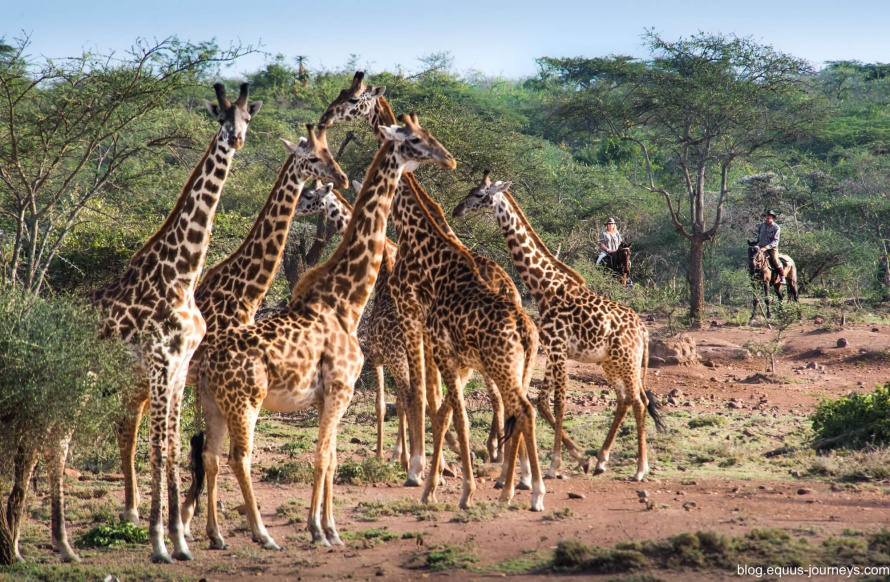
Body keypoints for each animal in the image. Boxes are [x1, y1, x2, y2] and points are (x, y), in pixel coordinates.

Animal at [88, 82, 262, 564]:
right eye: (220, 115)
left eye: (247, 116)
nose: (237, 139)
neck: (182, 275)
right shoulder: (160, 363)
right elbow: (159, 450)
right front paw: (160, 542)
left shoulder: (181, 368)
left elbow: (172, 448)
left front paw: (180, 540)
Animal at [197, 114, 454, 552]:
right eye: (416, 141)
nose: (449, 159)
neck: (345, 301)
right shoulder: (339, 390)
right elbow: (323, 457)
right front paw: (321, 529)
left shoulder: (326, 396)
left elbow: (330, 457)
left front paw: (326, 527)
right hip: (244, 402)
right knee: (236, 457)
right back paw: (261, 534)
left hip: (216, 403)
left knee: (212, 456)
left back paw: (216, 535)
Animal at [318, 73, 520, 484]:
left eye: (354, 99)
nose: (326, 117)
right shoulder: (424, 330)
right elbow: (427, 393)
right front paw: (431, 462)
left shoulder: (414, 318)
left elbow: (420, 394)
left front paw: (419, 465)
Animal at [454, 173, 664, 484]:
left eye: (479, 194)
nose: (457, 210)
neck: (545, 288)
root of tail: (643, 331)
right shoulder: (554, 349)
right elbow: (543, 402)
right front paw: (580, 459)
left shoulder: (557, 347)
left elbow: (559, 403)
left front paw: (555, 465)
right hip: (611, 362)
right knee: (626, 398)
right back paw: (602, 461)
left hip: (627, 360)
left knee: (638, 401)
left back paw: (640, 469)